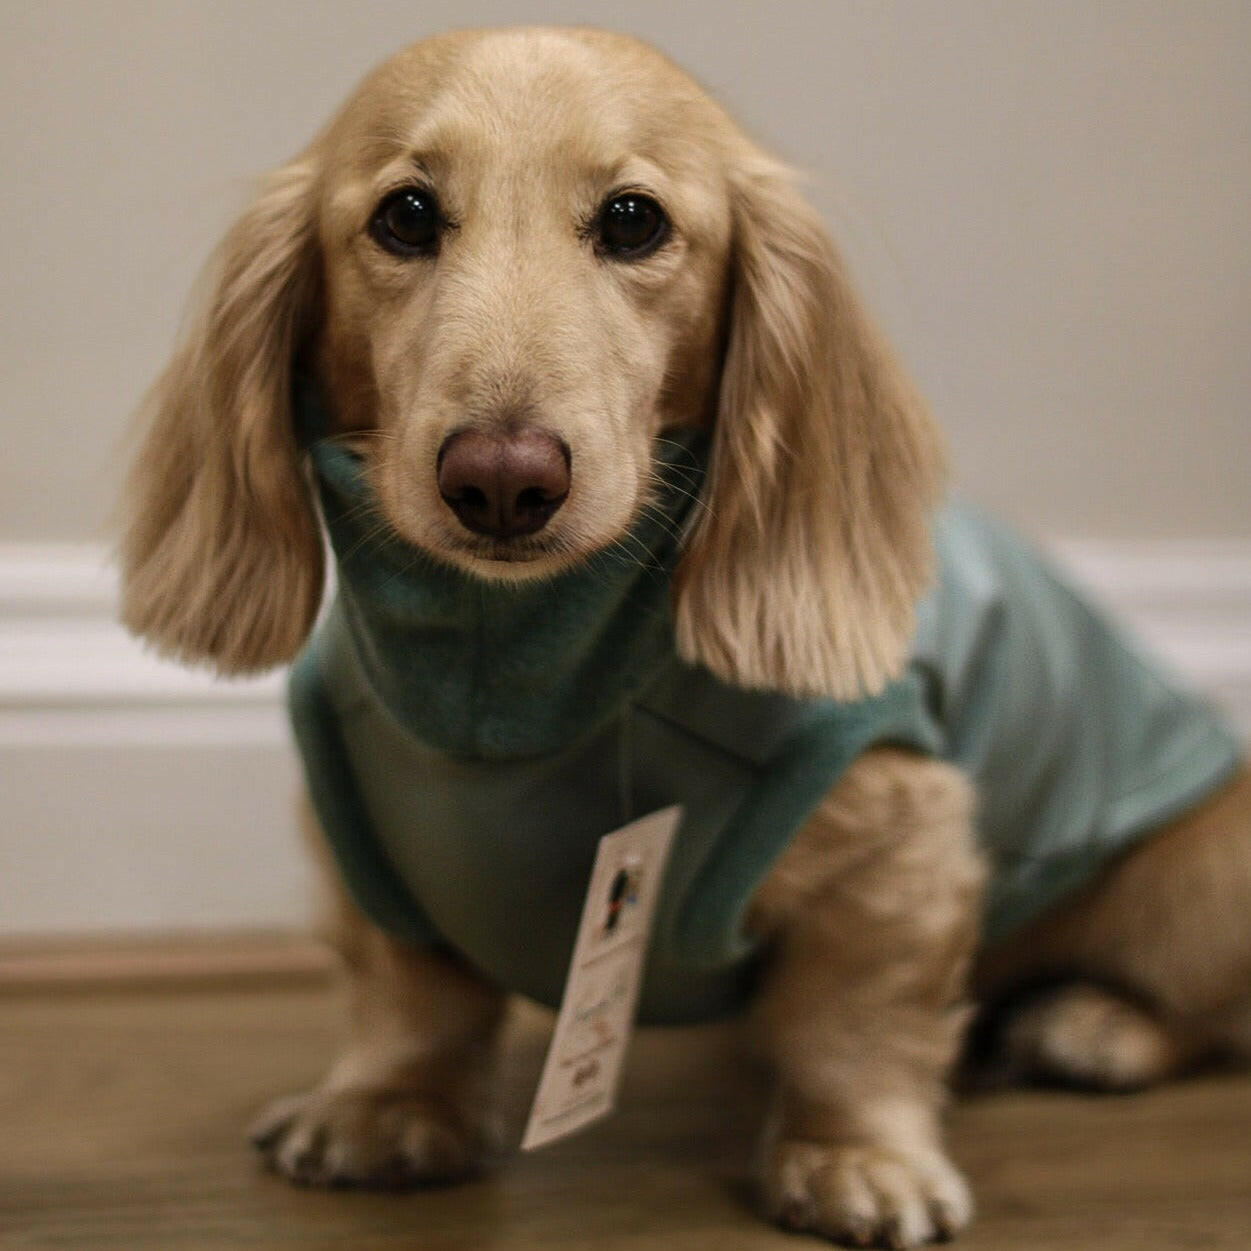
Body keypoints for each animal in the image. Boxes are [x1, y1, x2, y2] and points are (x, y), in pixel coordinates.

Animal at [119, 24, 1251, 1245]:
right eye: (406, 215)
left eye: (632, 220)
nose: (504, 480)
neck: (510, 681)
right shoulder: (364, 847)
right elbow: (408, 995)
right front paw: (385, 1105)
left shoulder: (902, 843)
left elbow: (852, 1026)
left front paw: (856, 1158)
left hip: (1197, 885)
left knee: (1208, 1013)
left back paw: (1100, 1026)